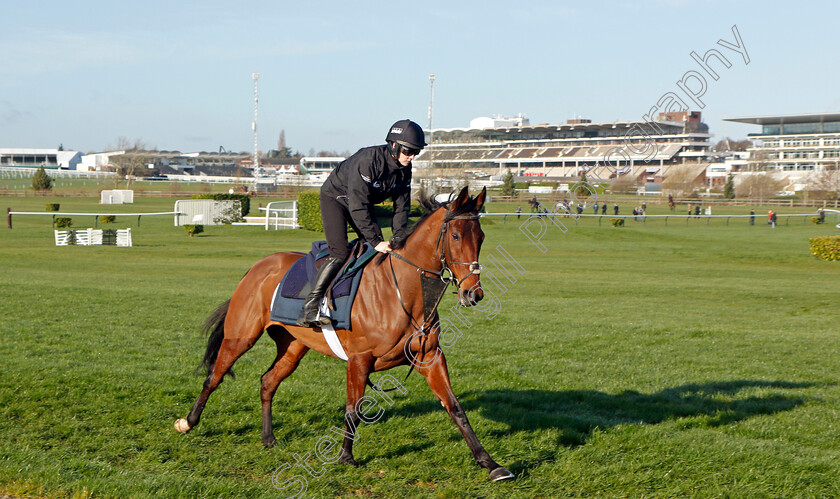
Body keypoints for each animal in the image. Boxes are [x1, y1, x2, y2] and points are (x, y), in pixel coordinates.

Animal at [176, 187, 512, 480]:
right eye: (455, 236)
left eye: (480, 237)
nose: (473, 293)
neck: (403, 293)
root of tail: (258, 267)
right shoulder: (359, 360)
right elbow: (353, 410)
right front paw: (345, 457)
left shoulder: (430, 356)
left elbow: (455, 407)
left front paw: (490, 463)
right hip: (241, 336)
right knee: (214, 376)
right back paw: (188, 422)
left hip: (293, 346)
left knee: (268, 381)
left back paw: (268, 438)